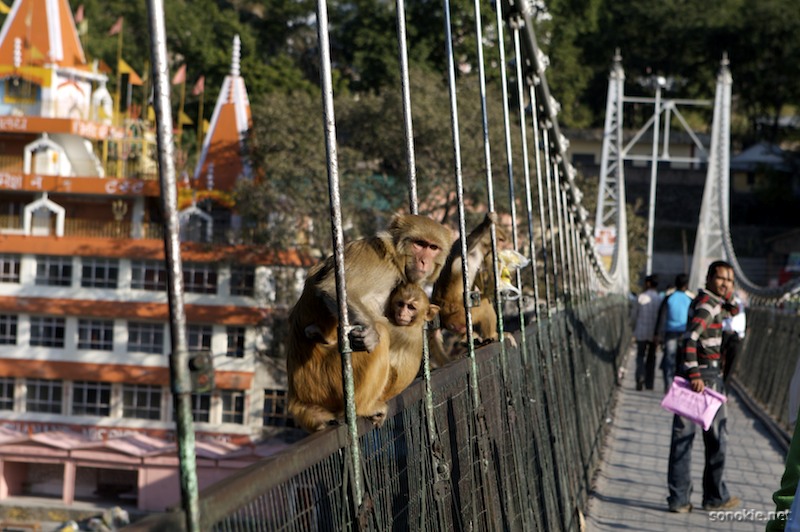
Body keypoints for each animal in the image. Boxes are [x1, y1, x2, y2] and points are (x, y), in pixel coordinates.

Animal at [288, 214, 454, 434]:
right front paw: (372, 334)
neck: (394, 259)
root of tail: (296, 397)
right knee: (380, 332)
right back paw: (363, 407)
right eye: (420, 244)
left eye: (433, 247)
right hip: (322, 379)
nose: (424, 261)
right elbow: (332, 289)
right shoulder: (373, 261)